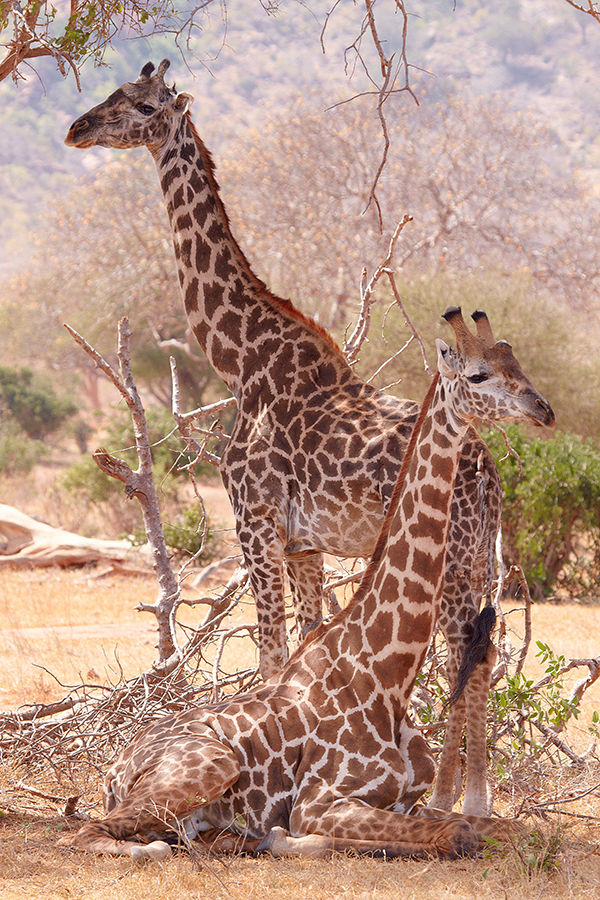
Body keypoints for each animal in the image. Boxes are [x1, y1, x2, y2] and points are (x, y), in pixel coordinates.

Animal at [58, 312, 556, 864]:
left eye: (517, 363)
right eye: (477, 375)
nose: (544, 410)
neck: (387, 672)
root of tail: (114, 767)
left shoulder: (407, 798)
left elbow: (504, 828)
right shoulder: (320, 800)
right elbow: (453, 834)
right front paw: (286, 838)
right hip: (209, 766)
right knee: (88, 834)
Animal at [68, 61, 524, 816]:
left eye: (139, 106)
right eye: (110, 93)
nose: (77, 128)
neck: (241, 359)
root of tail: (487, 469)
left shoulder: (253, 518)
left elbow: (271, 651)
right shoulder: (304, 542)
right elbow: (304, 643)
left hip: (457, 554)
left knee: (468, 648)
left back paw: (468, 801)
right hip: (474, 556)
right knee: (476, 648)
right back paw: (460, 796)